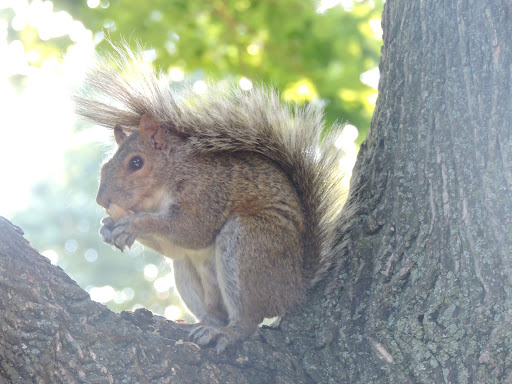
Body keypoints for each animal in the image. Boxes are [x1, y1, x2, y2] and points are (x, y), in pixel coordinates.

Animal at [74, 43, 354, 352]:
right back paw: (194, 324)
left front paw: (133, 224)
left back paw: (226, 332)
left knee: (248, 320)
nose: (102, 200)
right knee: (211, 306)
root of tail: (295, 291)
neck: (168, 180)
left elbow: (192, 230)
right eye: (104, 166)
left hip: (249, 242)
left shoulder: (207, 193)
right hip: (187, 270)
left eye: (136, 163)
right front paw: (107, 227)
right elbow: (175, 246)